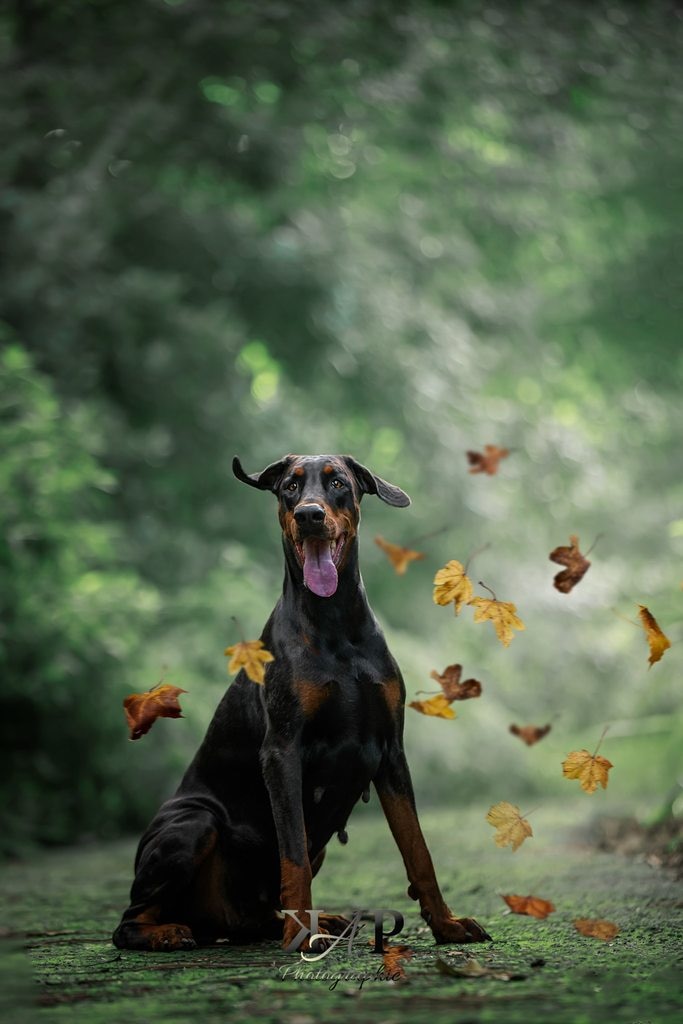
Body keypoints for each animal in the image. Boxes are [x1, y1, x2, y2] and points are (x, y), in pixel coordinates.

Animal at [114, 456, 493, 950]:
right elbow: (291, 854)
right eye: (290, 487)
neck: (335, 624)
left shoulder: (391, 751)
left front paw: (446, 925)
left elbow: (418, 849)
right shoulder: (282, 752)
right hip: (194, 821)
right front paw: (299, 936)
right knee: (128, 922)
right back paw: (170, 933)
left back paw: (320, 921)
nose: (309, 515)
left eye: (338, 483)